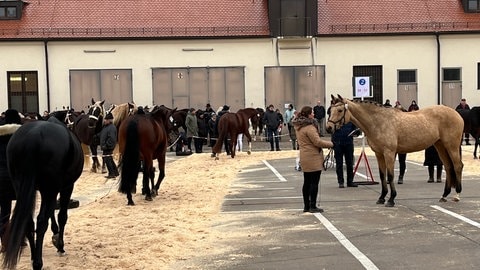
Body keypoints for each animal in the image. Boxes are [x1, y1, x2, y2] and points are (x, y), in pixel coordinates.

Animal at [2, 117, 83, 270]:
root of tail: (33, 137)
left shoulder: (46, 191)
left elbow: (51, 212)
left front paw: (55, 236)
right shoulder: (65, 187)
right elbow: (62, 216)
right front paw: (60, 245)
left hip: (21, 185)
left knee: (28, 221)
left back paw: (34, 257)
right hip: (50, 188)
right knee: (41, 222)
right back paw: (38, 262)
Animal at [324, 95, 464, 207]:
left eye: (340, 110)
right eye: (330, 110)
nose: (328, 128)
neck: (378, 122)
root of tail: (457, 114)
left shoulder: (389, 153)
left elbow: (390, 175)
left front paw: (391, 199)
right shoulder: (379, 154)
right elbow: (382, 175)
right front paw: (381, 198)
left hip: (451, 146)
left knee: (457, 166)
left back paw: (457, 195)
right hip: (440, 145)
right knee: (448, 167)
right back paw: (444, 195)